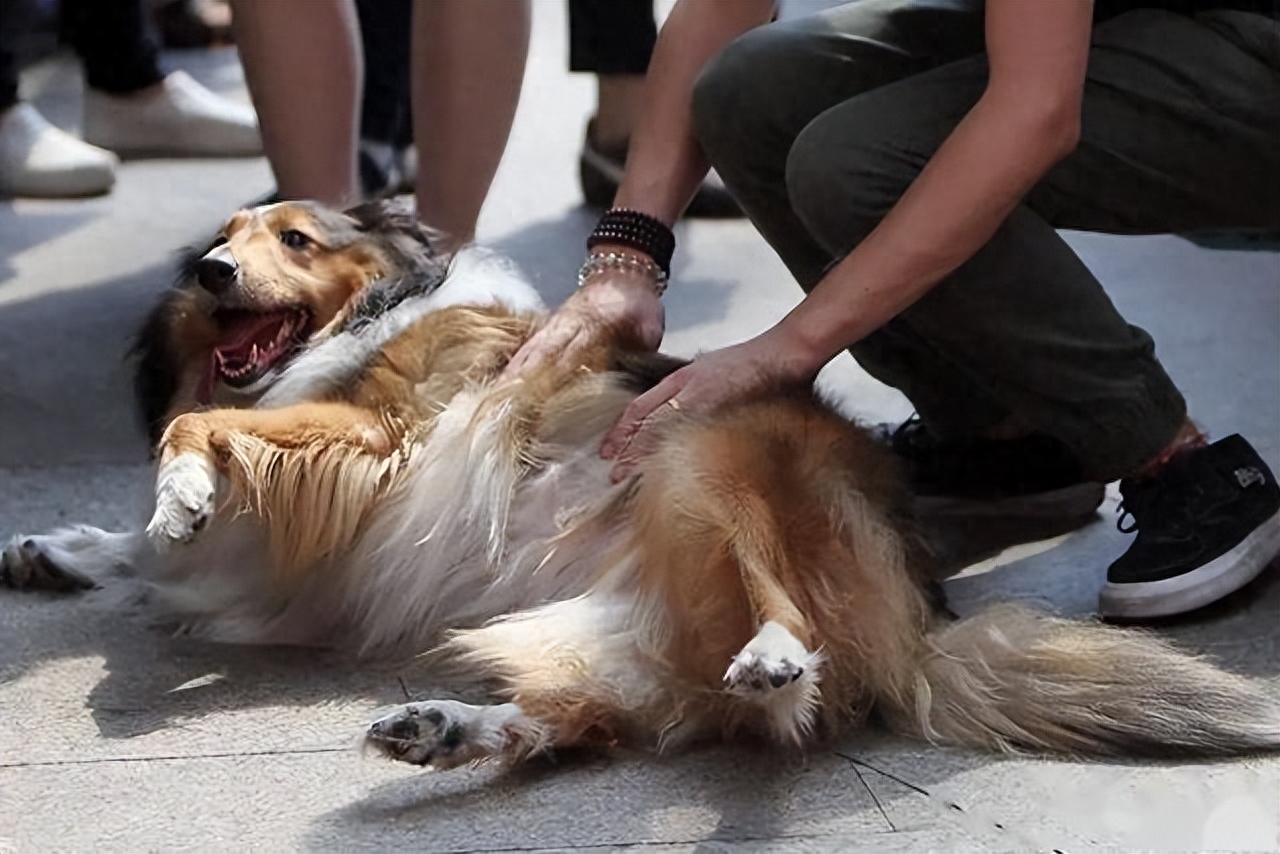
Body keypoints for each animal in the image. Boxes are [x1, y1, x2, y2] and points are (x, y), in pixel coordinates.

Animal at [2, 197, 1280, 773]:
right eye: (220, 239)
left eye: (296, 240)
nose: (214, 269)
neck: (377, 308)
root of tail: (922, 612)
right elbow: (147, 535)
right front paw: (57, 546)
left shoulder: (375, 434)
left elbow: (202, 428)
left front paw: (181, 493)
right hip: (611, 624)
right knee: (590, 718)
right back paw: (442, 727)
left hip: (703, 459)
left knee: (789, 643)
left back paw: (776, 654)